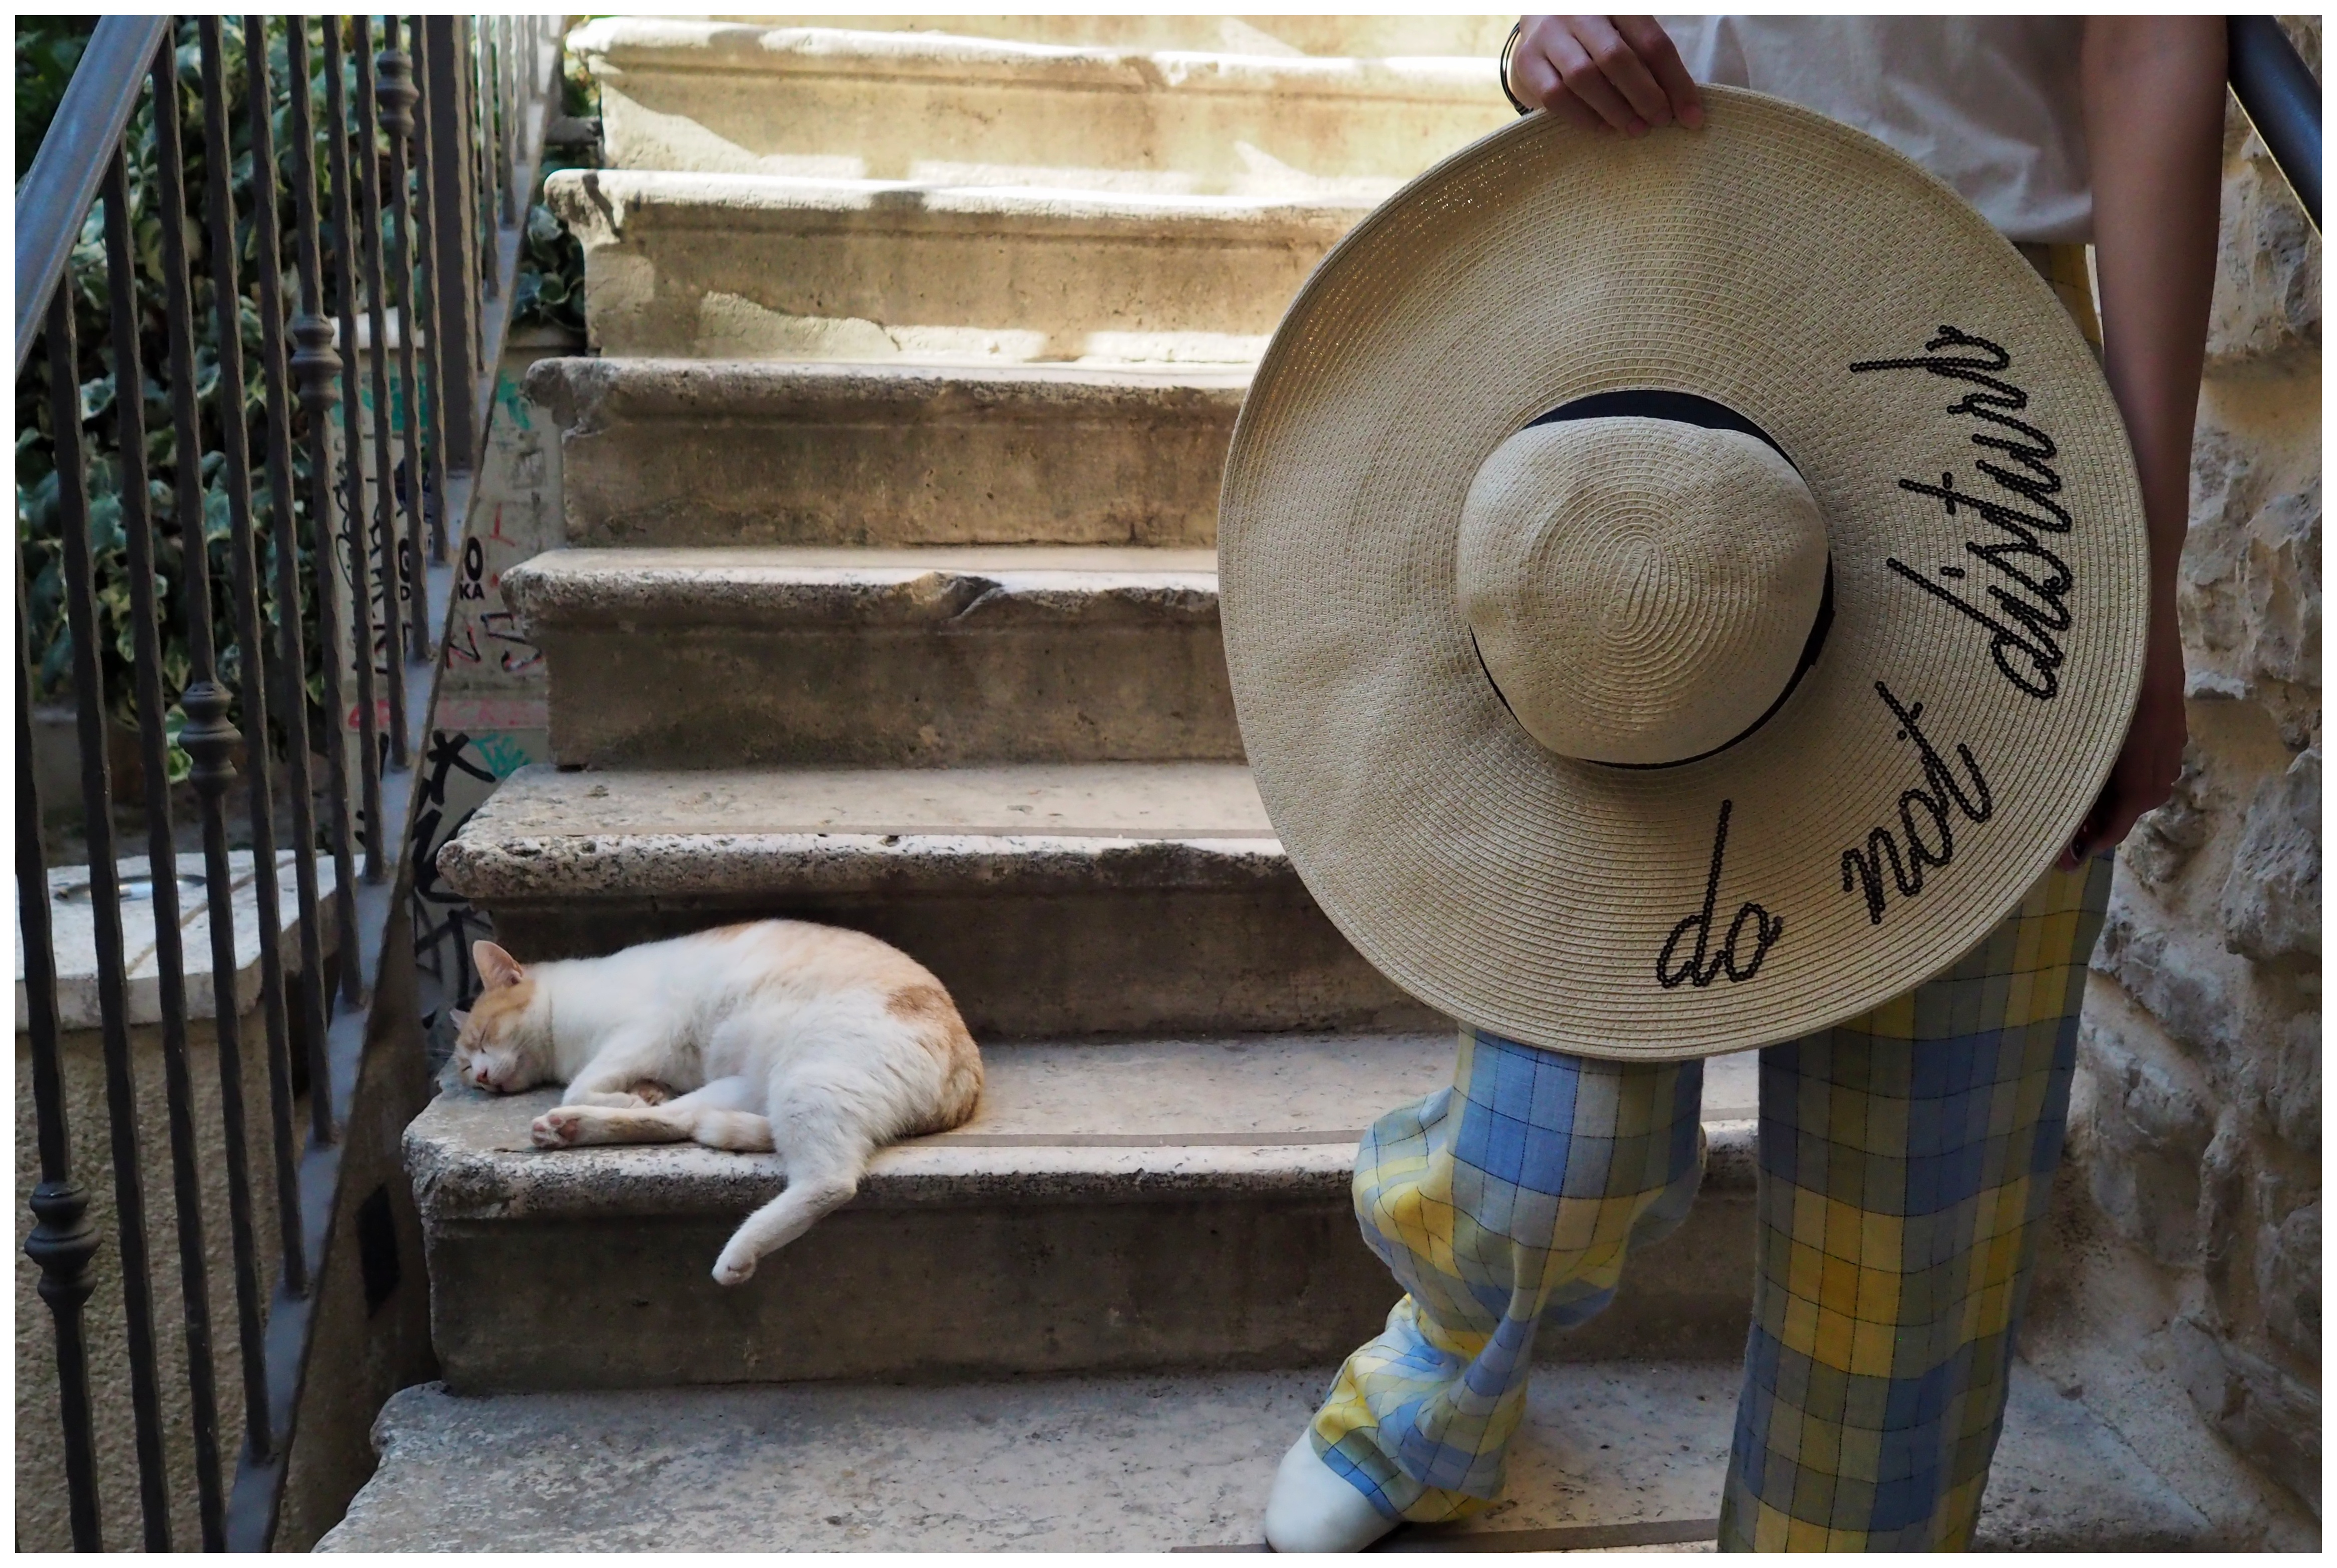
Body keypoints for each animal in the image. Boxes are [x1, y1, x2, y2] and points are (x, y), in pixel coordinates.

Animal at [449, 921, 986, 1290]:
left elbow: (582, 1083)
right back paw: (571, 1128)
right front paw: (641, 1092)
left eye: (483, 1038)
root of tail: (968, 1074)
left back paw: (740, 1252)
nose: (481, 1079)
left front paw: (623, 1090)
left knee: (830, 1182)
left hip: (810, 1079)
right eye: (465, 1066)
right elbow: (618, 1092)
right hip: (743, 1085)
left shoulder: (645, 1032)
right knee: (677, 1120)